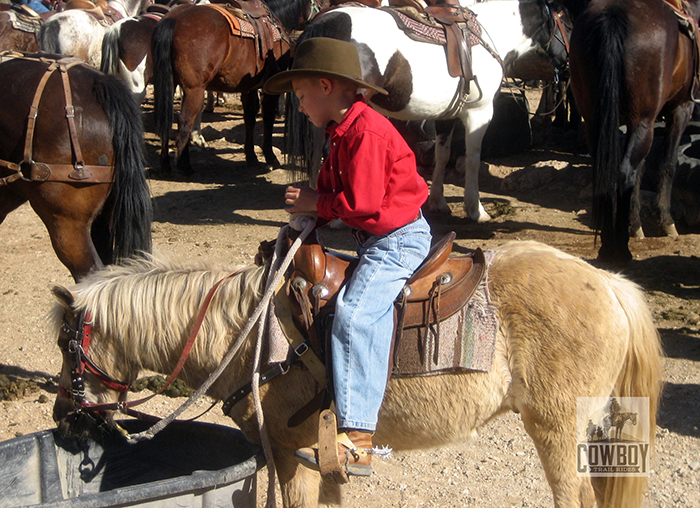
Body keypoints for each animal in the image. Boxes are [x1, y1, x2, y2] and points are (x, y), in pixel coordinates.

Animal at [49, 239, 660, 508]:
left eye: (66, 346)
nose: (64, 420)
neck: (248, 333)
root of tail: (609, 284)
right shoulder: (319, 455)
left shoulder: (286, 450)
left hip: (557, 429)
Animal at [152, 0, 324, 175]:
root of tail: (173, 19)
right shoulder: (270, 87)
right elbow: (267, 118)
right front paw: (270, 157)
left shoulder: (249, 88)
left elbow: (249, 118)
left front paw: (251, 157)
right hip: (194, 89)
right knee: (184, 121)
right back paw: (184, 165)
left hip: (170, 84)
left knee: (166, 118)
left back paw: (165, 164)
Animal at [568, 0, 700, 262]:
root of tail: (614, 14)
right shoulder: (681, 108)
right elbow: (668, 164)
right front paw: (666, 221)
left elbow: (642, 170)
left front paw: (635, 225)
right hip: (643, 121)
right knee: (624, 172)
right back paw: (619, 250)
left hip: (594, 121)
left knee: (606, 172)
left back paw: (608, 244)